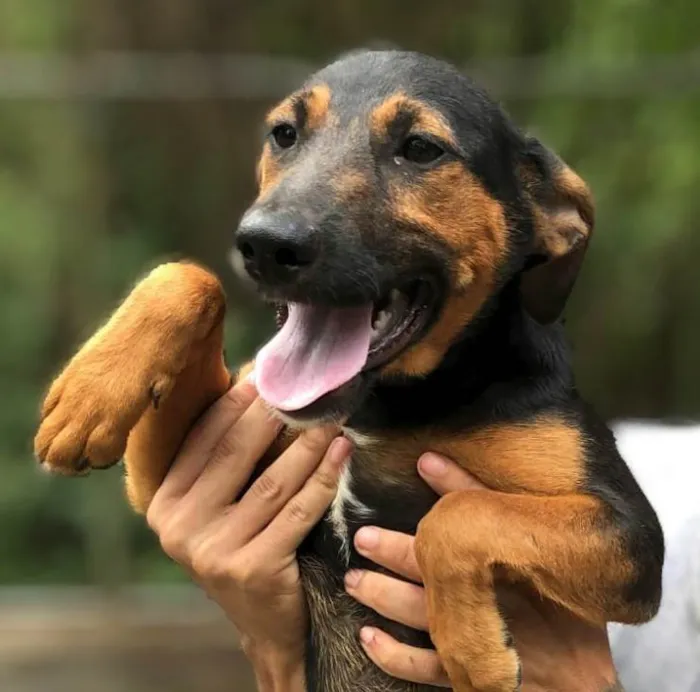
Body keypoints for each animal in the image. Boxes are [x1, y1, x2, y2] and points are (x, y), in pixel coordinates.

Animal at [32, 50, 664, 692]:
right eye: (284, 134)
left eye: (421, 148)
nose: (264, 246)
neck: (379, 406)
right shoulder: (170, 469)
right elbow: (187, 275)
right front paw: (86, 400)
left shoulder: (630, 536)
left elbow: (456, 514)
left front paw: (473, 655)